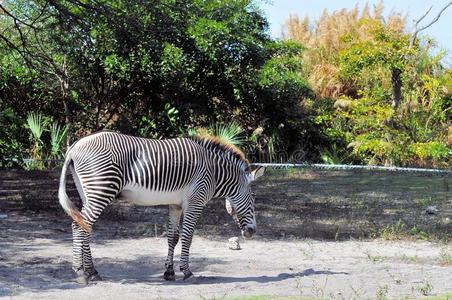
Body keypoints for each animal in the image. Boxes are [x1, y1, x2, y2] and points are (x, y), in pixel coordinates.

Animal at [59, 131, 264, 284]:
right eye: (253, 200)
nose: (253, 232)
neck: (213, 172)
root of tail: (75, 147)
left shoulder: (175, 205)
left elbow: (173, 238)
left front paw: (169, 272)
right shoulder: (195, 202)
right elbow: (187, 237)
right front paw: (187, 271)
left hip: (88, 192)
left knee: (85, 226)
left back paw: (92, 272)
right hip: (101, 189)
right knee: (79, 227)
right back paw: (80, 272)